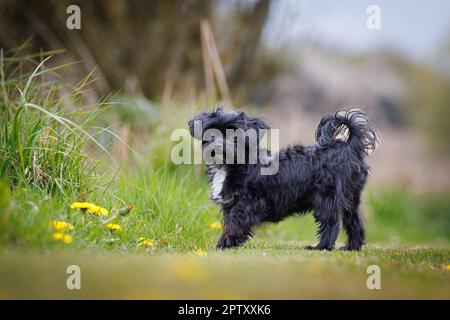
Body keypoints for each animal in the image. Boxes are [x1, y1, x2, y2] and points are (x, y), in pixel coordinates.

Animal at [188, 107, 378, 250]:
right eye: (211, 133)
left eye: (235, 135)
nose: (218, 147)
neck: (233, 164)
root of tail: (349, 147)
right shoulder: (231, 204)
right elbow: (230, 222)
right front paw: (228, 243)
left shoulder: (247, 203)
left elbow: (235, 222)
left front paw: (225, 243)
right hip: (350, 197)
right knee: (354, 221)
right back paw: (351, 247)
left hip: (327, 197)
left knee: (331, 222)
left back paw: (321, 247)